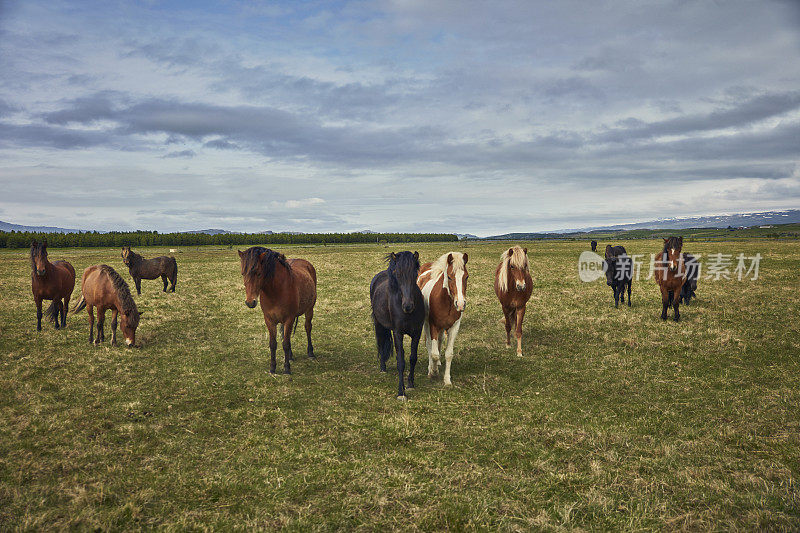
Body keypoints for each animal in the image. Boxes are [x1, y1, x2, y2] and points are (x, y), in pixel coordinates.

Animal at [238, 246, 316, 374]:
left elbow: (285, 344)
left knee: (308, 327)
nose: (250, 302)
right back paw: (290, 356)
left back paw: (310, 352)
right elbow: (274, 343)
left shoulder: (289, 319)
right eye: (243, 273)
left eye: (258, 273)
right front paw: (272, 367)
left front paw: (287, 368)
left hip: (310, 309)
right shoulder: (269, 320)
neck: (276, 291)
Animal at [372, 250, 428, 400]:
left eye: (415, 274)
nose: (408, 306)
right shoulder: (398, 333)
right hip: (378, 324)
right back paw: (383, 368)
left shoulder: (417, 332)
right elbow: (401, 361)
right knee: (381, 343)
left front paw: (410, 385)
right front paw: (401, 392)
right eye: (397, 274)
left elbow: (412, 358)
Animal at [418, 251, 468, 384]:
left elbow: (449, 354)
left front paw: (447, 380)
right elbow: (434, 352)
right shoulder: (433, 325)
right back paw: (431, 367)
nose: (460, 304)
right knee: (429, 345)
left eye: (466, 277)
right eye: (449, 277)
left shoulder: (454, 327)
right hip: (427, 325)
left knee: (439, 342)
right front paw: (433, 372)